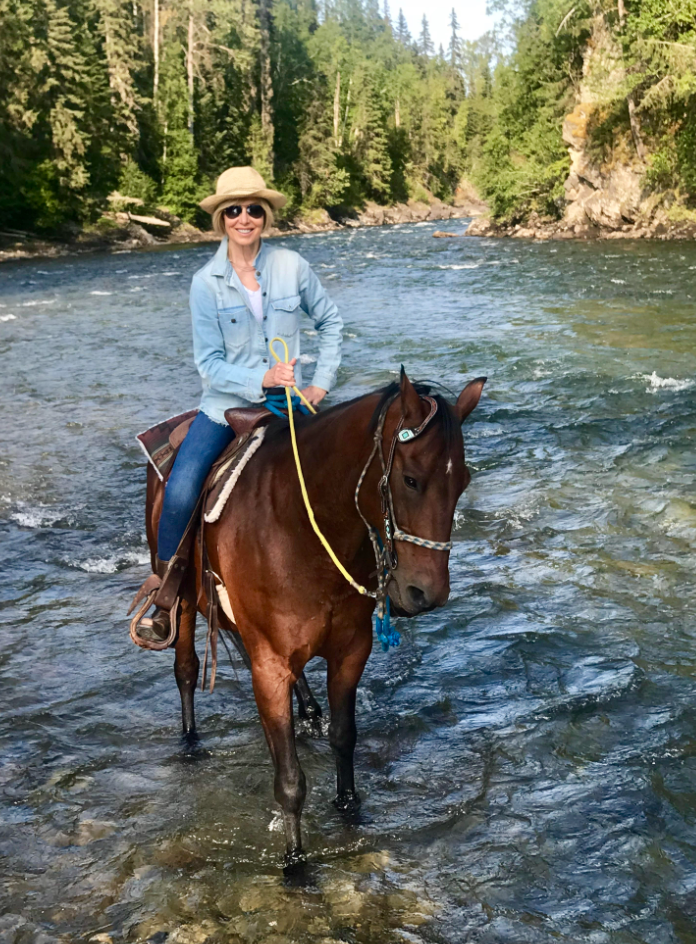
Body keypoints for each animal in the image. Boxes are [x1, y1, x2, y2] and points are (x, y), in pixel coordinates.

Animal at [145, 368, 486, 864]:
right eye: (410, 480)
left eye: (463, 481)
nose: (427, 594)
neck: (300, 530)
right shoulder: (269, 666)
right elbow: (289, 780)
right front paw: (295, 863)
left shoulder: (351, 652)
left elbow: (344, 737)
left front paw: (349, 808)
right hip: (184, 600)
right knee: (186, 669)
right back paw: (190, 741)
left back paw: (307, 708)